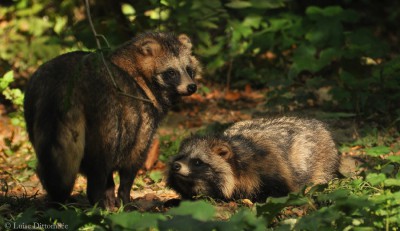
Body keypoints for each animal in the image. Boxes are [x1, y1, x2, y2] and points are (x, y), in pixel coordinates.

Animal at [23, 31, 202, 208]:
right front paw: (125, 200)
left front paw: (110, 196)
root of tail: (65, 78)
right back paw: (97, 203)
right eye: (171, 72)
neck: (137, 72)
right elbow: (130, 165)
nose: (192, 87)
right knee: (100, 161)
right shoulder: (142, 122)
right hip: (105, 118)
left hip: (34, 105)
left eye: (189, 70)